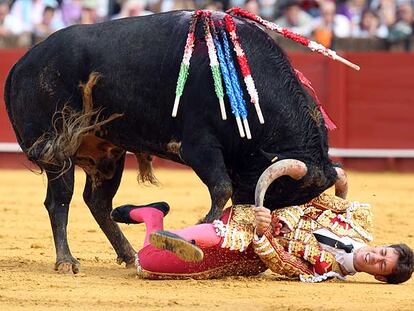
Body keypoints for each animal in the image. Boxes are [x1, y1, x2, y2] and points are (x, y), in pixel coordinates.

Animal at [4, 10, 340, 272]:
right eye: (278, 192)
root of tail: (20, 65)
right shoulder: (199, 147)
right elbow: (221, 188)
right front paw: (204, 231)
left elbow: (225, 189)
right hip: (57, 149)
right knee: (59, 200)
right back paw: (66, 261)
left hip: (108, 155)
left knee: (98, 202)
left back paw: (130, 256)